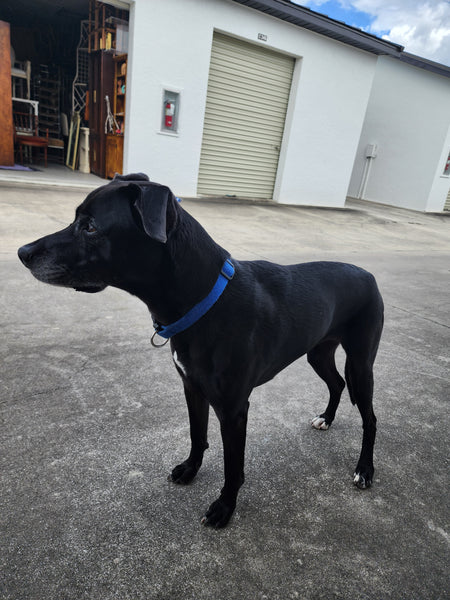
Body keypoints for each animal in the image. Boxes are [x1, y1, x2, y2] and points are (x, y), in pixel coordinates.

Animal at [17, 172, 384, 524]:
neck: (205, 300)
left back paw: (365, 469)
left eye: (91, 226)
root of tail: (369, 274)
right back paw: (327, 418)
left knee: (370, 417)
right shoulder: (192, 387)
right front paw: (190, 469)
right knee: (337, 383)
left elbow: (233, 466)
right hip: (318, 352)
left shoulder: (233, 408)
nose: (22, 253)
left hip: (361, 364)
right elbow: (197, 435)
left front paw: (225, 506)